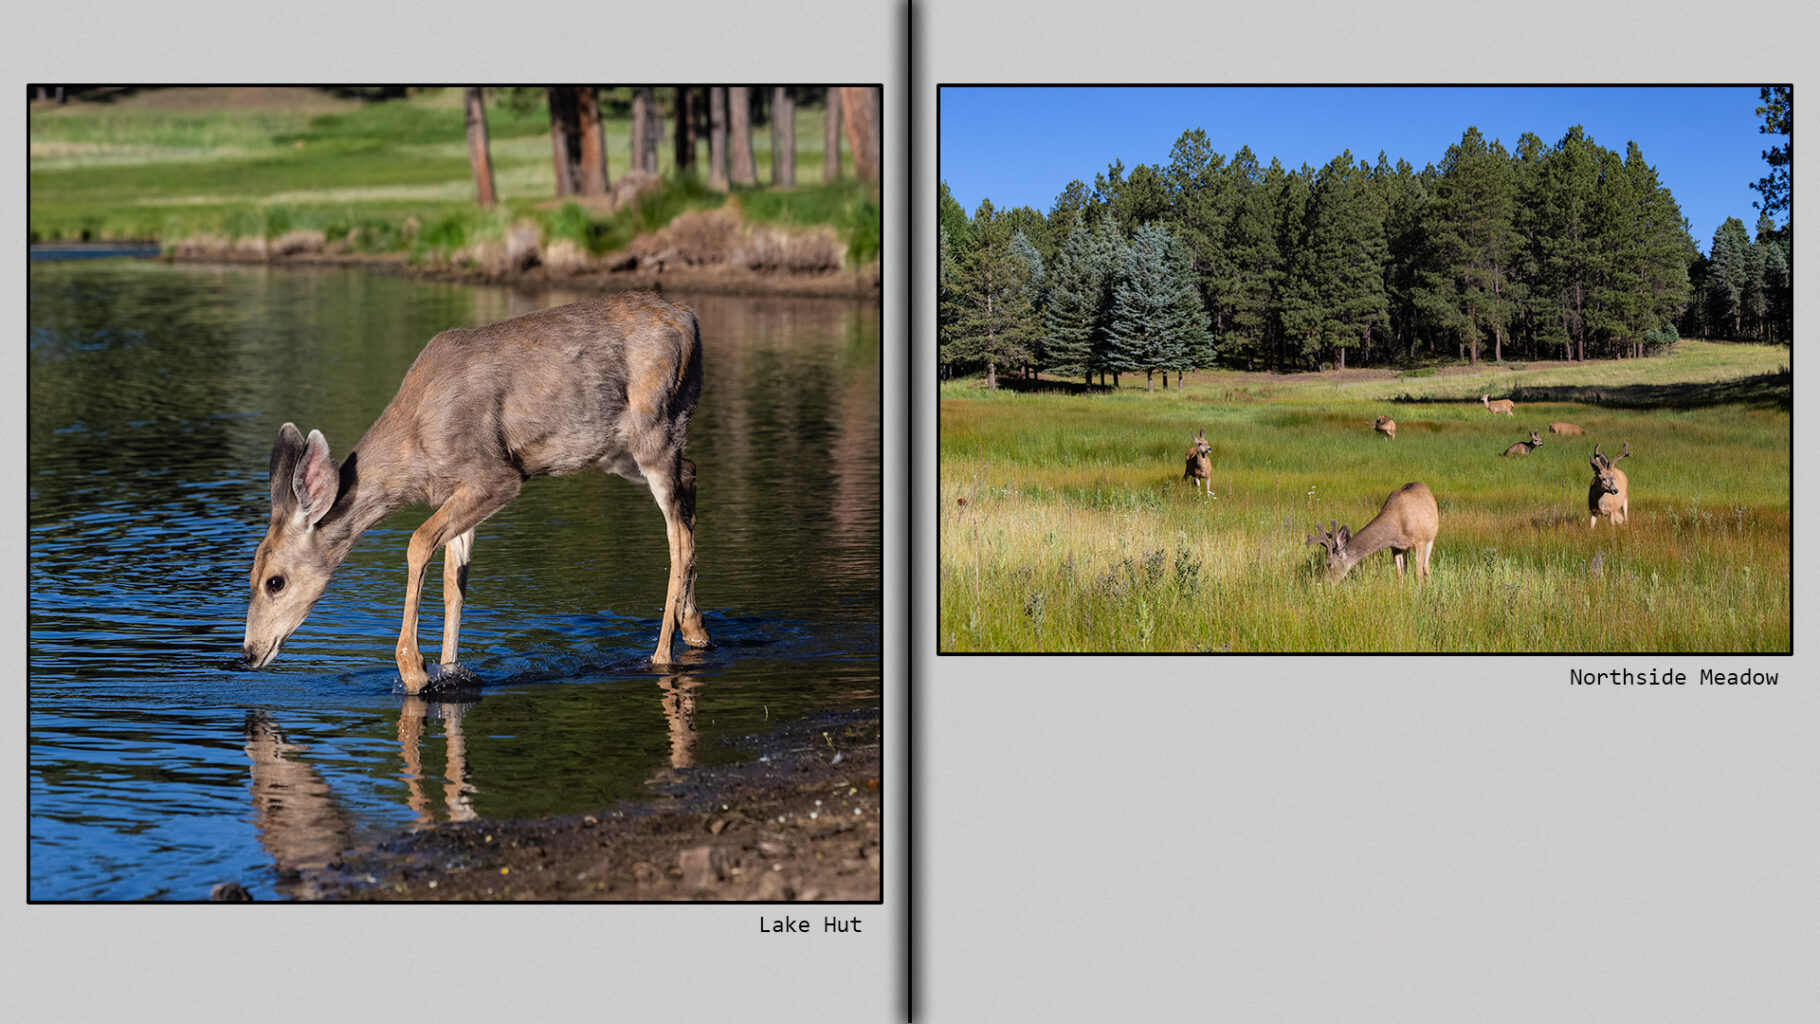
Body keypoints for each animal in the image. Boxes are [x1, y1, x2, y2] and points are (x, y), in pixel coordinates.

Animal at [241, 291, 710, 694]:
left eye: (274, 582)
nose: (247, 653)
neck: (416, 452)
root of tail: (691, 319)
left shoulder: (495, 474)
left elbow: (417, 542)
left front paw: (414, 670)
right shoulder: (460, 491)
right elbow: (455, 580)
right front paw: (448, 670)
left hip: (653, 429)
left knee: (676, 536)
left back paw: (662, 654)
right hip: (620, 452)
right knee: (690, 478)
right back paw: (695, 629)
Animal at [1305, 482, 1439, 582]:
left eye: (1329, 564)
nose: (1325, 583)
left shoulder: (1420, 541)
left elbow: (1418, 573)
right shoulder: (1395, 547)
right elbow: (1399, 573)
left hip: (1431, 538)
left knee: (1426, 567)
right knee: (1406, 567)